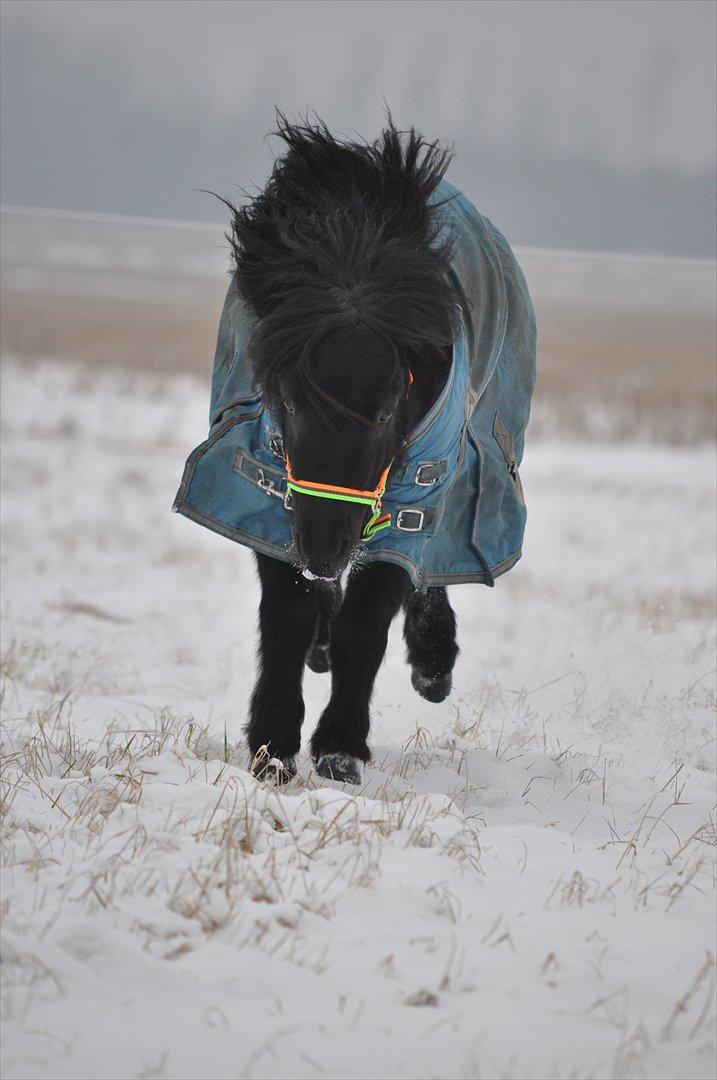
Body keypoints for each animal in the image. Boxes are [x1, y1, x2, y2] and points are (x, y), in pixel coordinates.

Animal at [226, 113, 460, 781]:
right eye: (291, 403)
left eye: (384, 410)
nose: (325, 550)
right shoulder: (269, 487)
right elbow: (286, 613)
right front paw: (272, 744)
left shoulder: (414, 492)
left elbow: (368, 621)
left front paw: (339, 748)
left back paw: (433, 665)